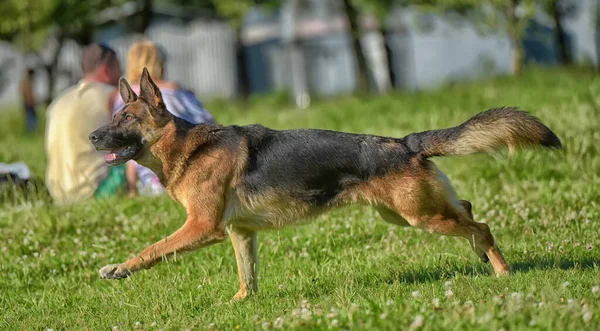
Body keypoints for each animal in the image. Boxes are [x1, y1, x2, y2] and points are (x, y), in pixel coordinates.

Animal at [90, 68, 564, 300]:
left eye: (126, 119)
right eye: (113, 117)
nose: (93, 137)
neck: (186, 146)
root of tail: (405, 143)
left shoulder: (201, 228)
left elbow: (153, 249)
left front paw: (119, 268)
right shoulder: (240, 234)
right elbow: (248, 274)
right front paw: (242, 304)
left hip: (419, 215)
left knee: (480, 225)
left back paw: (502, 271)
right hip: (405, 214)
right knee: (466, 209)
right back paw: (482, 257)